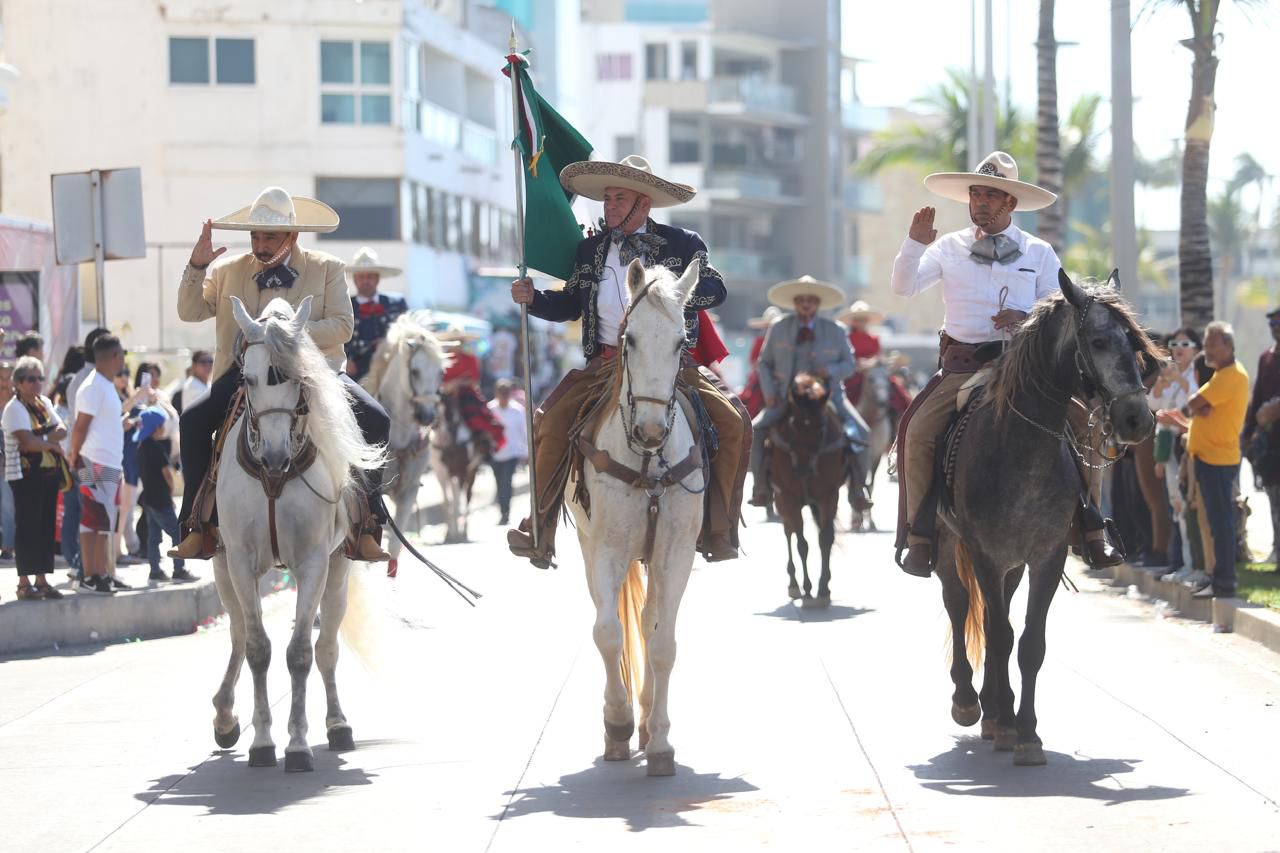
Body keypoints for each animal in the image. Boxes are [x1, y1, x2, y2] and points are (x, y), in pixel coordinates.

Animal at [209, 294, 384, 768]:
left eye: (298, 379)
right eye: (247, 379)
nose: (274, 457)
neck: (273, 479)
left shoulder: (312, 563)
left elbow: (302, 653)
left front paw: (299, 744)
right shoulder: (239, 560)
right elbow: (257, 648)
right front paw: (262, 742)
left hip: (339, 569)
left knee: (327, 647)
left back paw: (338, 725)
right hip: (221, 567)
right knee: (236, 632)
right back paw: (225, 716)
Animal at [573, 256, 706, 773]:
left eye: (680, 342)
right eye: (628, 339)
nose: (650, 431)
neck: (649, 461)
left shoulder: (676, 554)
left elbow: (662, 643)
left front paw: (661, 742)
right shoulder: (605, 550)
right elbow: (607, 632)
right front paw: (617, 723)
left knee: (650, 623)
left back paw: (649, 722)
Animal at [768, 373, 849, 604]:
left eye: (821, 428)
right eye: (793, 426)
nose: (802, 468)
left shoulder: (829, 496)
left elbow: (826, 538)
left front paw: (823, 588)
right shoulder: (789, 498)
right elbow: (801, 543)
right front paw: (806, 587)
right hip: (781, 500)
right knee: (789, 532)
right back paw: (794, 583)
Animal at [931, 270, 1162, 763]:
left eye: (1135, 345)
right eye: (1098, 341)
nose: (1137, 420)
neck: (1019, 448)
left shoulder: (1047, 558)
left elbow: (1028, 643)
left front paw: (1026, 732)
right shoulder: (984, 553)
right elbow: (999, 634)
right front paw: (1004, 721)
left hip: (1013, 563)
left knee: (997, 612)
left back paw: (995, 709)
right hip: (947, 542)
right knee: (959, 603)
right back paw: (969, 701)